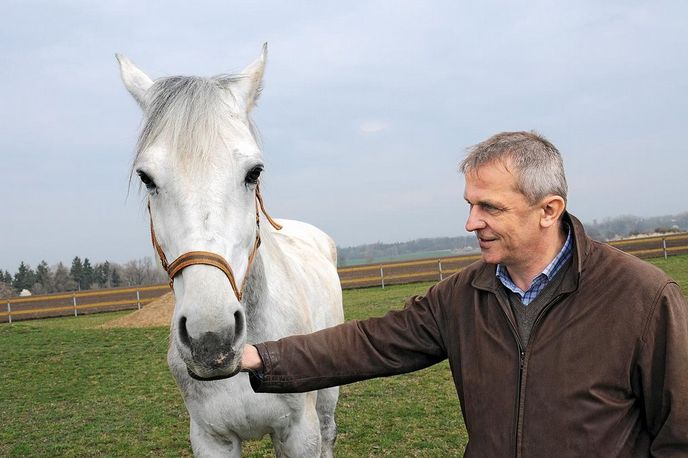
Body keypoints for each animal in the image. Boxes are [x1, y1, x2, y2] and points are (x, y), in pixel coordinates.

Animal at [117, 43, 344, 458]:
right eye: (146, 178)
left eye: (254, 172)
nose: (211, 339)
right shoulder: (212, 439)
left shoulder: (298, 434)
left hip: (326, 400)